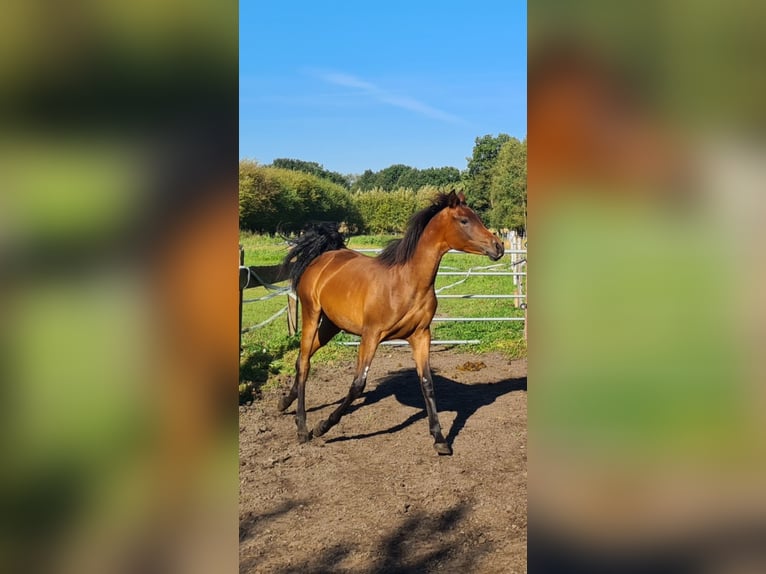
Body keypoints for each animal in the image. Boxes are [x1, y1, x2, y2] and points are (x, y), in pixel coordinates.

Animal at [280, 191, 508, 456]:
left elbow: (427, 383)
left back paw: (284, 403)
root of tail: (324, 258)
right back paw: (303, 428)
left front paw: (440, 439)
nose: (498, 246)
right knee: (305, 363)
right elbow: (357, 385)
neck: (406, 284)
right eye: (464, 220)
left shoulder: (421, 335)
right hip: (311, 314)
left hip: (331, 325)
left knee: (301, 360)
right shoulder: (371, 336)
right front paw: (323, 427)